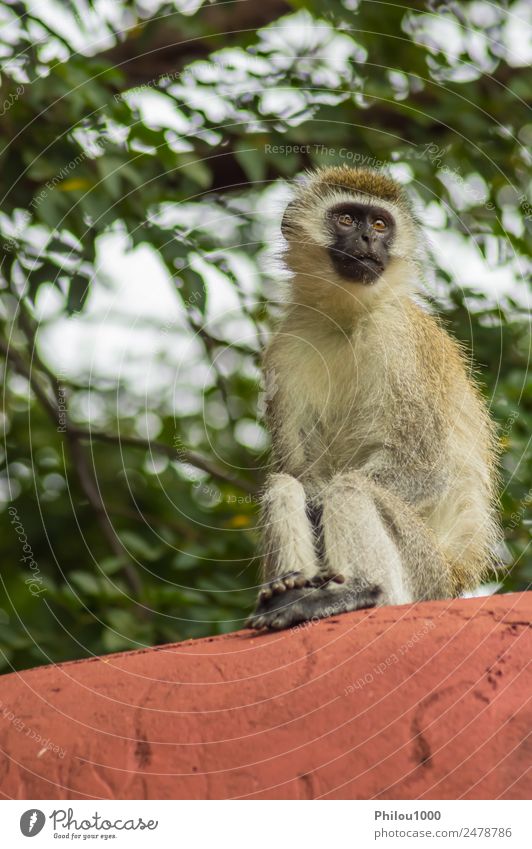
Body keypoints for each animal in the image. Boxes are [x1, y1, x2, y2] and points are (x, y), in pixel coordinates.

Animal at [247, 166, 500, 628]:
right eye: (347, 219)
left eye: (380, 225)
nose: (367, 239)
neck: (347, 317)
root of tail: (456, 576)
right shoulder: (284, 351)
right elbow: (299, 469)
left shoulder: (399, 341)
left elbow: (426, 469)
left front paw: (321, 505)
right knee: (285, 486)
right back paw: (289, 594)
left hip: (425, 574)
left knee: (351, 487)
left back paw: (359, 592)